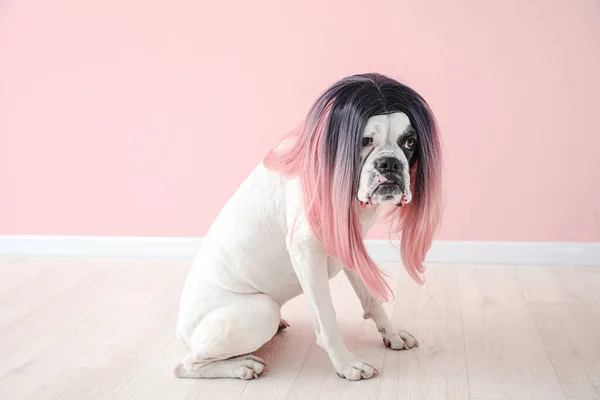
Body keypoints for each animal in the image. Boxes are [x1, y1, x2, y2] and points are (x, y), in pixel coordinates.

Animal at [172, 72, 440, 382]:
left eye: (409, 142)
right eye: (363, 140)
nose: (389, 163)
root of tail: (182, 329)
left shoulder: (349, 246)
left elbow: (372, 299)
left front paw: (392, 335)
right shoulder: (306, 253)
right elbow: (326, 317)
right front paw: (346, 364)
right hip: (262, 310)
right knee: (187, 364)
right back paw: (241, 365)